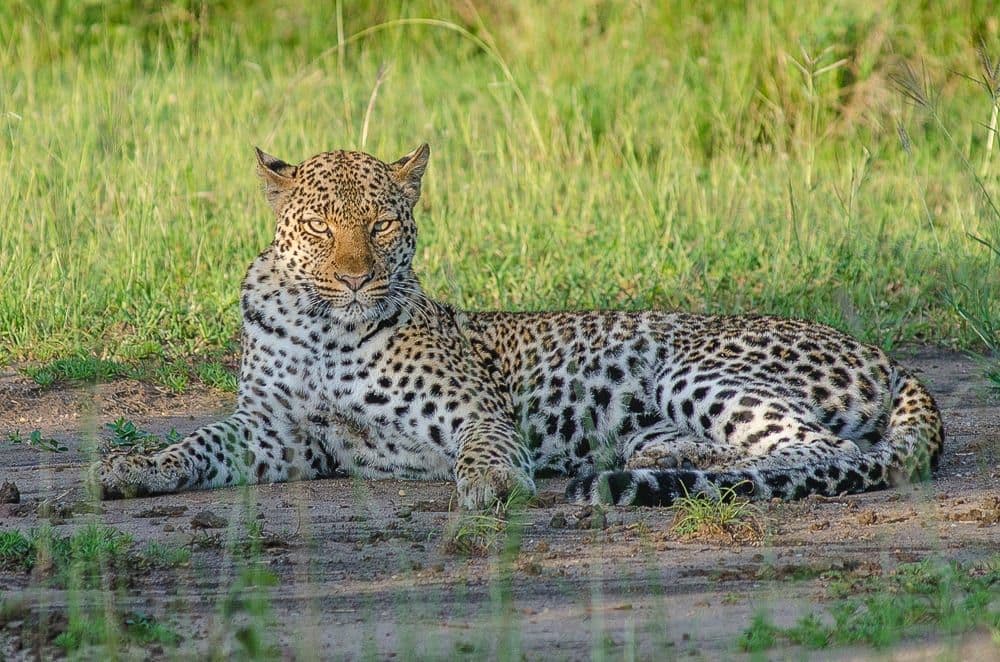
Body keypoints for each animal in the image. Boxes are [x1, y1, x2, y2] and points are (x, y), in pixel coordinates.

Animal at [96, 144, 944, 510]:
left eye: (379, 225)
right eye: (320, 227)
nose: (356, 276)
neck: (322, 327)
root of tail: (889, 358)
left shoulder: (474, 409)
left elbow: (488, 446)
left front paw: (497, 485)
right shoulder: (280, 433)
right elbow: (200, 442)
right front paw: (131, 467)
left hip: (694, 365)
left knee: (823, 451)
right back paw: (649, 461)